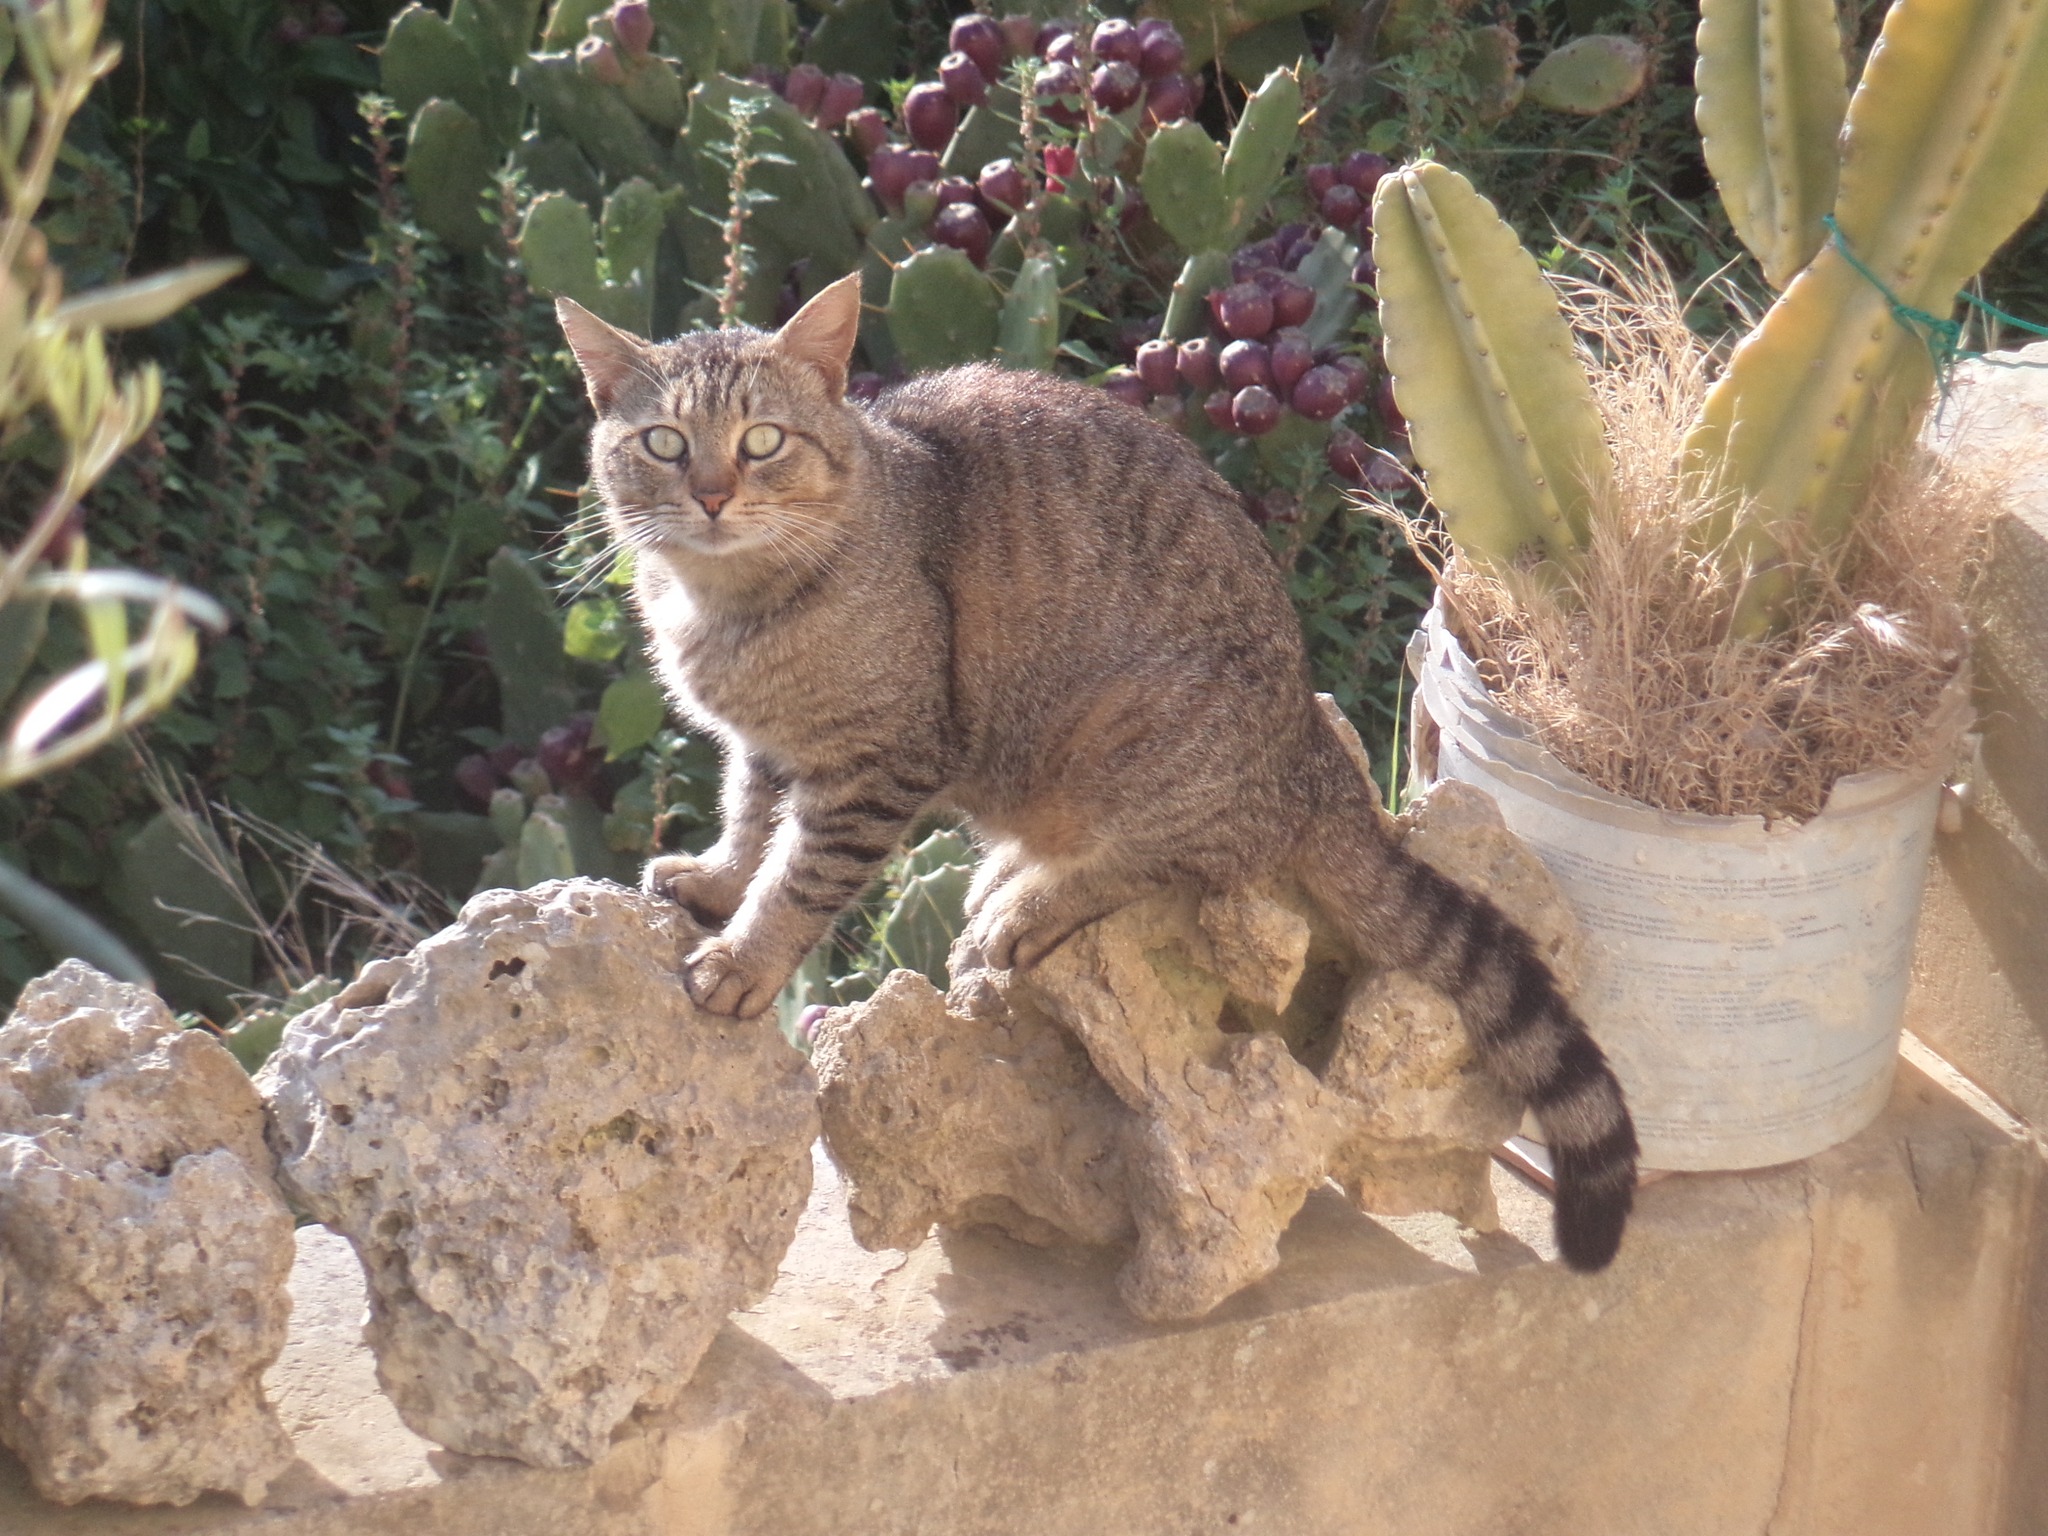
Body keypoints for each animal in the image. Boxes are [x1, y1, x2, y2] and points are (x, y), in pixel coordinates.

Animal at [558, 272, 1638, 1270]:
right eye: (663, 443)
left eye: (762, 442)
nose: (709, 494)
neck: (728, 610)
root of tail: (1306, 753)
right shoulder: (768, 748)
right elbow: (748, 820)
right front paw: (713, 881)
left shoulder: (874, 762)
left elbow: (797, 879)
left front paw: (744, 960)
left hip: (1133, 738)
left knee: (1168, 861)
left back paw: (1027, 900)